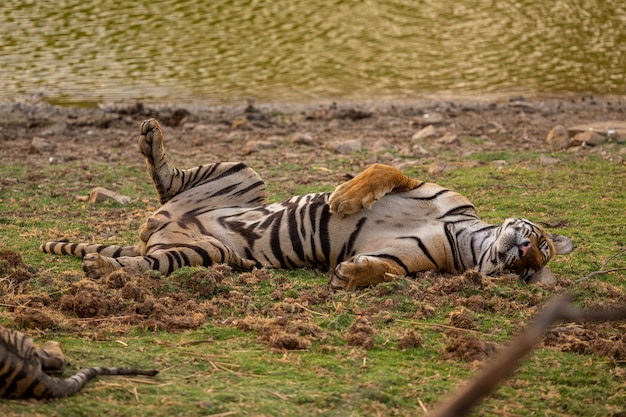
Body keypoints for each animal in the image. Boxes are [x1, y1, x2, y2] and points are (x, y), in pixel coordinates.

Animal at [40, 117, 572, 290]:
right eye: (542, 243)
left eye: (530, 270)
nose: (525, 255)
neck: (468, 239)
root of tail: (154, 230)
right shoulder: (419, 183)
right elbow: (383, 169)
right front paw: (343, 198)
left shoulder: (405, 259)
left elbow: (388, 269)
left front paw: (350, 274)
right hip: (242, 171)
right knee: (167, 179)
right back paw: (151, 137)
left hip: (201, 253)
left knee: (147, 264)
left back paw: (102, 269)